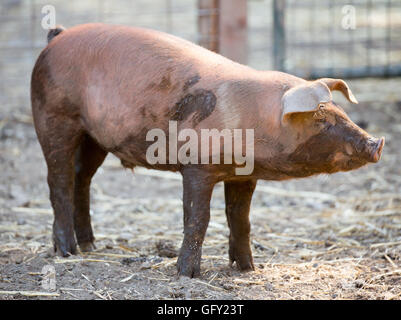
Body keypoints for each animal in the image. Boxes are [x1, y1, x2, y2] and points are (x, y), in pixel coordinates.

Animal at [29, 23, 382, 278]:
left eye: (341, 111)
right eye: (321, 118)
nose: (377, 143)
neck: (251, 117)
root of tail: (57, 37)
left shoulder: (244, 175)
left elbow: (240, 218)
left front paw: (248, 269)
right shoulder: (197, 166)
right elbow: (198, 218)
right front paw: (187, 275)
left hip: (94, 138)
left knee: (82, 179)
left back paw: (90, 245)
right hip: (54, 116)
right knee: (58, 179)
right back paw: (68, 251)